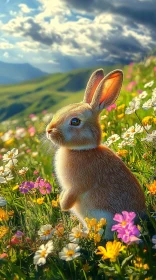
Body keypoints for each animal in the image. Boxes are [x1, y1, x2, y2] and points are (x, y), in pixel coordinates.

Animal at [45, 69, 146, 237]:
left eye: (75, 121)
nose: (49, 130)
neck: (82, 149)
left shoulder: (79, 183)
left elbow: (73, 193)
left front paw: (63, 205)